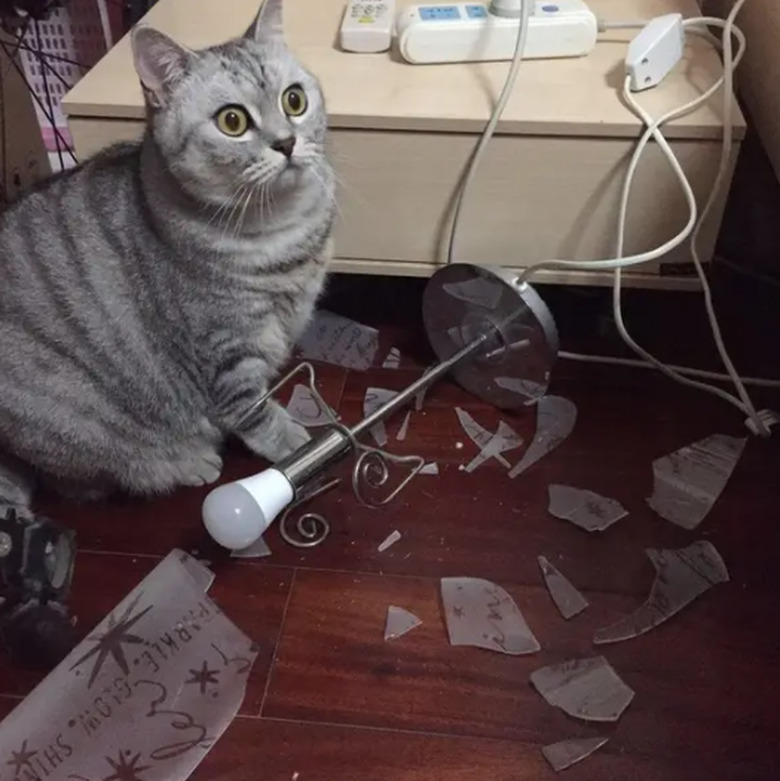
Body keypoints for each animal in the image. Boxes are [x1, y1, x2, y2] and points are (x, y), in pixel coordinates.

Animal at [0, 0, 336, 512]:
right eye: (232, 122)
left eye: (294, 101)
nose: (286, 142)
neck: (281, 227)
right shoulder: (225, 350)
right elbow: (255, 412)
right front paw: (295, 445)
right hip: (70, 416)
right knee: (103, 472)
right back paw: (188, 463)